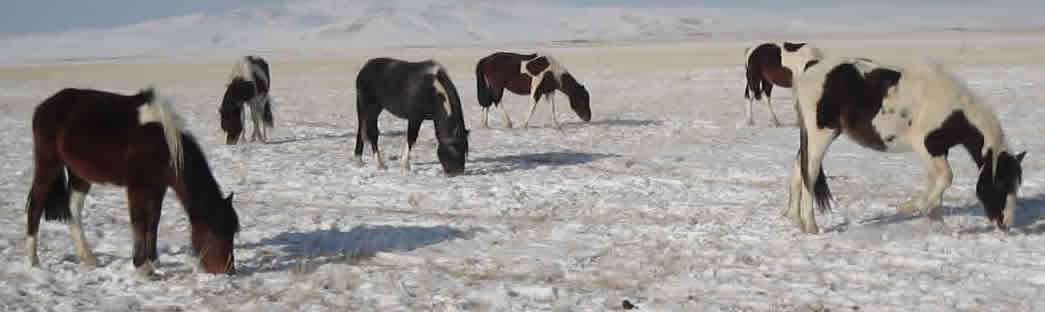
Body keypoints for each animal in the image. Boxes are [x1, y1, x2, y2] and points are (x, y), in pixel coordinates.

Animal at [28, 87, 242, 275]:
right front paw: (142, 267)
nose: (228, 270)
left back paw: (87, 256)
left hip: (80, 175)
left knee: (74, 210)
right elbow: (139, 222)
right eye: (215, 233)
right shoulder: (137, 187)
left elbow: (154, 221)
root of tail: (44, 106)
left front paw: (154, 260)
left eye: (232, 232)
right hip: (49, 165)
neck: (163, 145)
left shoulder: (158, 187)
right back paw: (32, 260)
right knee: (35, 206)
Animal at [785, 58, 1024, 234]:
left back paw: (795, 220)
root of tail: (810, 69)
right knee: (809, 174)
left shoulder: (939, 151)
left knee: (798, 170)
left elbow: (937, 183)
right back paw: (811, 226)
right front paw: (908, 208)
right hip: (820, 136)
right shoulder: (928, 147)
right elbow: (946, 178)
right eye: (1002, 184)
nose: (1006, 223)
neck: (953, 111)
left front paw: (939, 225)